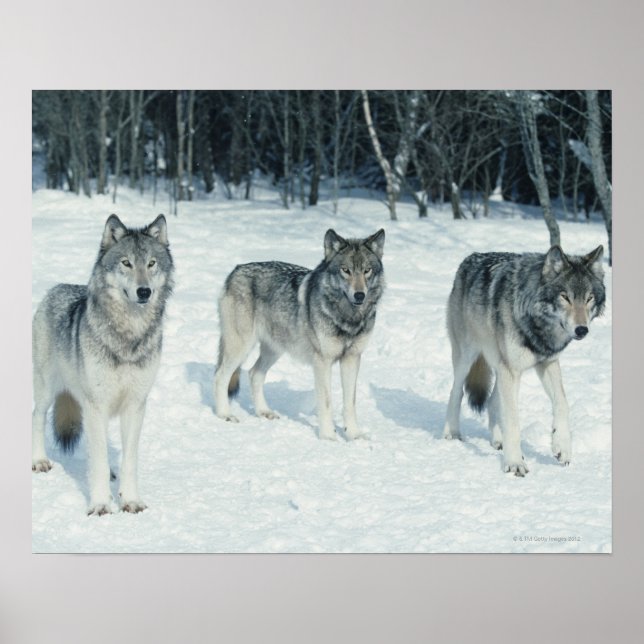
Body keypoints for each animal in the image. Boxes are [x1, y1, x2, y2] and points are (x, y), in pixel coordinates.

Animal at [32, 214, 174, 515]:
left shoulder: (135, 405)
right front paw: (99, 505)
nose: (144, 291)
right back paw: (38, 461)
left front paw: (130, 500)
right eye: (126, 263)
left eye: (151, 263)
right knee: (36, 417)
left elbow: (129, 461)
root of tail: (56, 288)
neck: (129, 336)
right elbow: (96, 461)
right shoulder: (96, 403)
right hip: (48, 390)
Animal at [213, 228, 385, 440]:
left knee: (254, 374)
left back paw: (264, 412)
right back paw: (225, 414)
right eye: (346, 270)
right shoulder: (322, 361)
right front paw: (328, 436)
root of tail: (235, 270)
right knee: (220, 376)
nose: (359, 295)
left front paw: (354, 435)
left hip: (274, 349)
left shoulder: (352, 358)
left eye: (367, 270)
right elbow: (326, 402)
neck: (348, 318)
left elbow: (350, 403)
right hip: (241, 347)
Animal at [443, 245, 605, 476]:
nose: (582, 330)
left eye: (589, 298)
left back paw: (498, 440)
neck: (538, 325)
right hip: (468, 357)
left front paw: (562, 447)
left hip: (501, 368)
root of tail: (471, 257)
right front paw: (514, 463)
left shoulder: (547, 363)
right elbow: (513, 421)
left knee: (493, 401)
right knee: (456, 391)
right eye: (565, 297)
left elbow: (562, 403)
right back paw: (451, 433)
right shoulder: (510, 370)